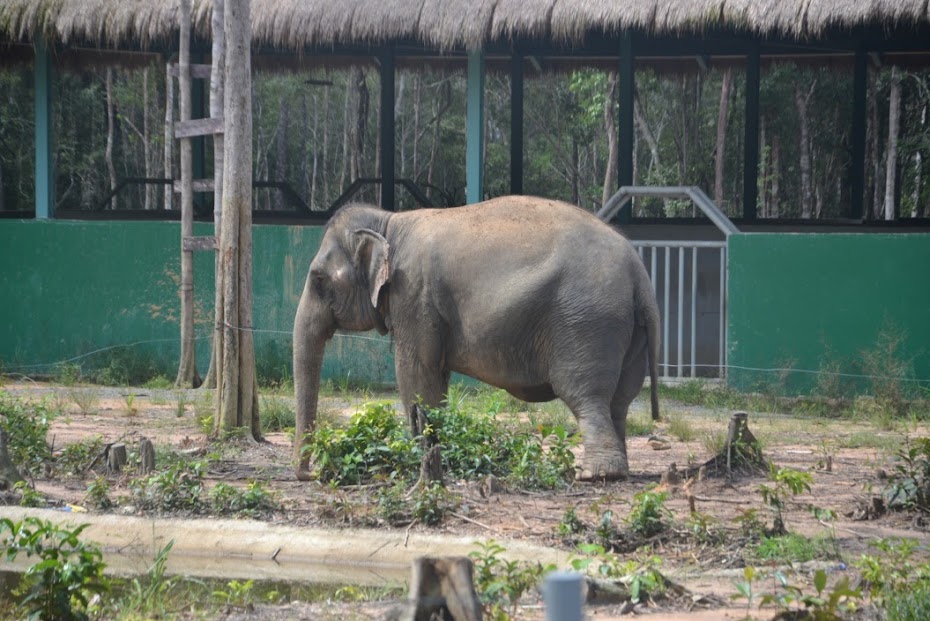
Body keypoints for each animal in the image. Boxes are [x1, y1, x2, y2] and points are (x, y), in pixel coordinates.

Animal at [292, 196, 660, 482]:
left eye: (319, 279)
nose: (313, 473)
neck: (389, 221)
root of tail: (638, 271)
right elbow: (435, 379)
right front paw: (435, 454)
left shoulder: (413, 295)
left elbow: (415, 373)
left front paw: (412, 458)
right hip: (627, 330)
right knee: (620, 401)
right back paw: (619, 468)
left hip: (587, 321)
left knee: (586, 395)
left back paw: (596, 474)